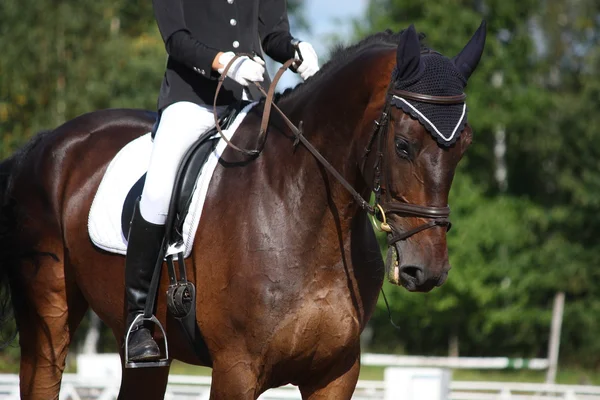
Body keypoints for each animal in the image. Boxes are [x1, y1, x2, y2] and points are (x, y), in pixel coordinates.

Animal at [0, 24, 486, 400]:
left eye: (465, 146)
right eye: (403, 145)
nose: (428, 270)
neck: (304, 210)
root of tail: (42, 144)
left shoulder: (336, 374)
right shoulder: (237, 369)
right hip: (49, 322)